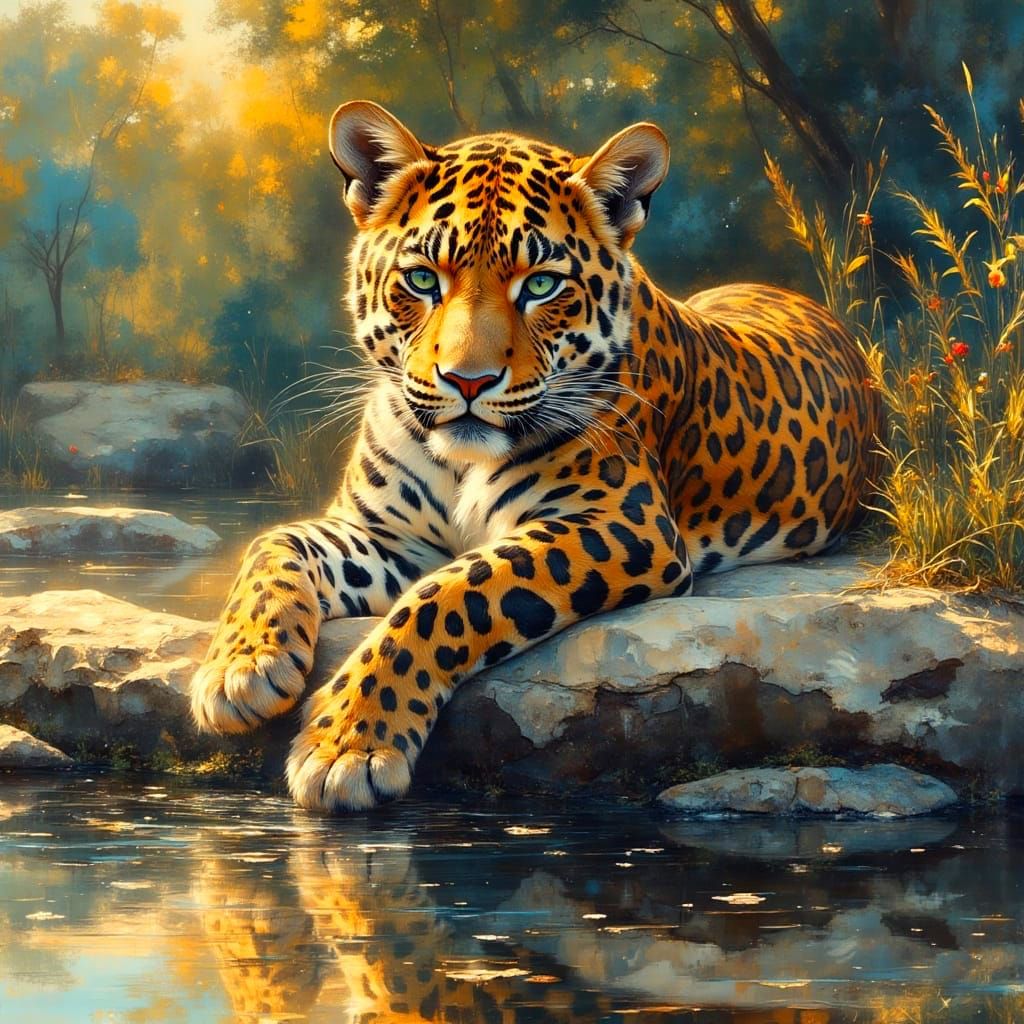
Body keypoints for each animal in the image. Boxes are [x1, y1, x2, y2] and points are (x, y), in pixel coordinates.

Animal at [191, 100, 883, 813]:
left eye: (543, 285)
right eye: (422, 278)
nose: (466, 381)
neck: (459, 465)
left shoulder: (621, 523)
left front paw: (349, 742)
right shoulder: (387, 537)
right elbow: (276, 542)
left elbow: (451, 592)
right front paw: (242, 667)